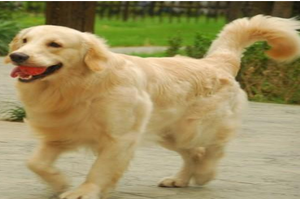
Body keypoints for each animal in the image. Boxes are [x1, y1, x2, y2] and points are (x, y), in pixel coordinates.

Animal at [4, 15, 300, 199]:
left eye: (55, 44)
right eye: (25, 41)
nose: (17, 56)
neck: (79, 86)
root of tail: (217, 61)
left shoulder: (120, 137)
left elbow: (100, 169)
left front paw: (84, 191)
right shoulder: (60, 131)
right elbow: (35, 163)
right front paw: (59, 181)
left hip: (195, 127)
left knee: (213, 149)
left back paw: (205, 174)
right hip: (170, 133)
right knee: (194, 154)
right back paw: (180, 179)